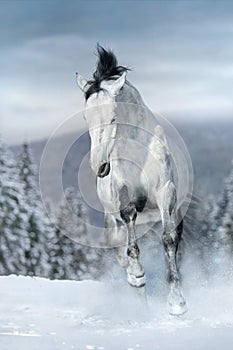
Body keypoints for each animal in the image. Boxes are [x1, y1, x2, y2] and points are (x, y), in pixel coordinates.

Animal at [77, 44, 188, 314]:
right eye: (86, 118)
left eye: (113, 117)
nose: (100, 167)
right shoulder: (124, 202)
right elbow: (132, 248)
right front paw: (137, 275)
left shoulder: (166, 194)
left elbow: (168, 241)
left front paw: (177, 303)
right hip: (111, 219)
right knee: (119, 249)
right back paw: (136, 283)